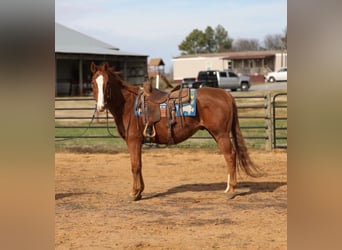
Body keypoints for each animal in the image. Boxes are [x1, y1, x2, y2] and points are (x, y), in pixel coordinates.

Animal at [89, 63, 258, 201]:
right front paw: (140, 191)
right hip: (217, 134)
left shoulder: (134, 141)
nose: (101, 106)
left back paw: (230, 190)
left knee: (230, 156)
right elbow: (140, 165)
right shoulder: (138, 143)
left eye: (107, 83)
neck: (129, 105)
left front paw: (134, 193)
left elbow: (135, 166)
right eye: (93, 83)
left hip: (221, 135)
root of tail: (226, 94)